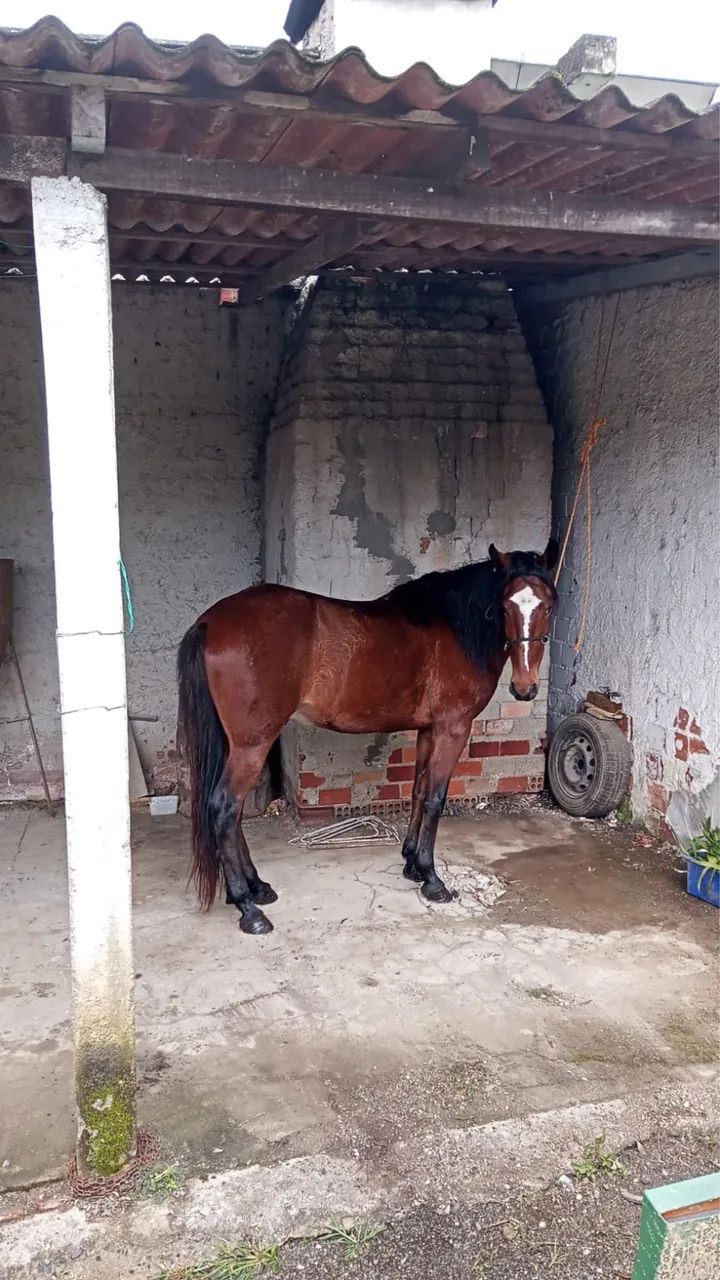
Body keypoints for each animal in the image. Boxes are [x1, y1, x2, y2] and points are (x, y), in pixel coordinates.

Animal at [177, 540, 558, 936]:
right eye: (505, 606)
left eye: (548, 604)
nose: (525, 688)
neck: (454, 627)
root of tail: (210, 621)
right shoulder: (452, 727)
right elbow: (436, 798)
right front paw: (432, 878)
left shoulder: (429, 729)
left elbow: (419, 791)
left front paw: (411, 863)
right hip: (252, 744)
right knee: (224, 807)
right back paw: (247, 907)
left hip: (235, 744)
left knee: (231, 812)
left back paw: (257, 887)